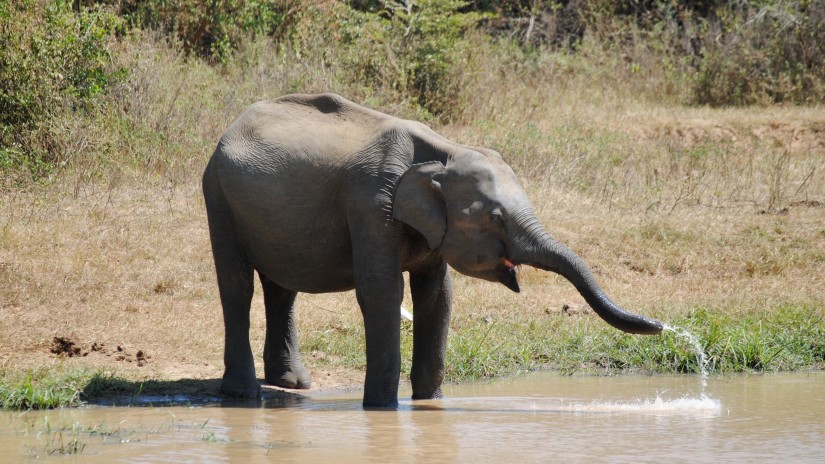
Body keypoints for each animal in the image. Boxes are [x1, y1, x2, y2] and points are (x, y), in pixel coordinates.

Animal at [201, 92, 664, 408]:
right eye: (495, 218)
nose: (662, 326)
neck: (444, 152)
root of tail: (234, 124)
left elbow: (437, 297)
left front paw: (430, 405)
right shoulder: (370, 206)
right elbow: (382, 292)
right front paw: (382, 409)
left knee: (283, 288)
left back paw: (293, 384)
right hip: (217, 195)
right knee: (238, 286)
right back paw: (243, 394)